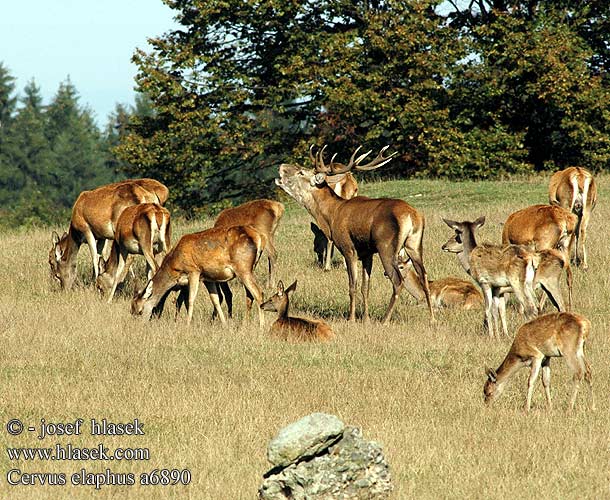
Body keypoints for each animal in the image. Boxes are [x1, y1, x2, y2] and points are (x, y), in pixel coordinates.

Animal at [131, 225, 264, 326]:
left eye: (140, 311)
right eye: (131, 311)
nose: (139, 326)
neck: (174, 266)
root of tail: (259, 238)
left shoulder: (194, 270)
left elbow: (190, 299)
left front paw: (187, 323)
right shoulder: (207, 278)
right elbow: (215, 299)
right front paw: (224, 324)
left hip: (243, 267)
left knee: (258, 293)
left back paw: (261, 326)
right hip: (251, 267)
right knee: (250, 295)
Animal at [276, 145, 432, 324]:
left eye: (301, 172)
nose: (281, 166)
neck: (331, 216)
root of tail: (412, 216)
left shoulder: (348, 247)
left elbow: (352, 286)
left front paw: (351, 319)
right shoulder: (367, 253)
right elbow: (366, 287)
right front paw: (366, 319)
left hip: (386, 246)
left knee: (398, 281)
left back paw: (385, 319)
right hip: (415, 244)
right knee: (424, 277)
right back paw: (432, 318)